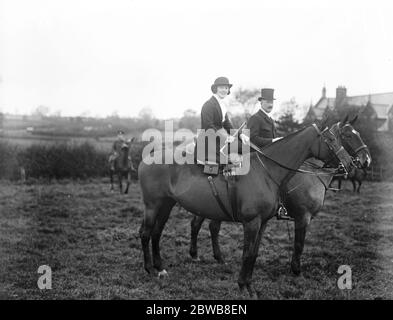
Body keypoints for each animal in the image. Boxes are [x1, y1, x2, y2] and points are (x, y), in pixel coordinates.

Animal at [136, 119, 354, 298]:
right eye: (332, 139)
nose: (351, 163)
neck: (265, 172)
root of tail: (147, 158)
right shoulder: (253, 222)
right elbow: (248, 253)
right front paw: (242, 286)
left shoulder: (263, 223)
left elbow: (254, 254)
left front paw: (249, 285)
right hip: (153, 205)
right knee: (146, 233)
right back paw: (150, 269)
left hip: (167, 204)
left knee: (157, 233)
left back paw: (161, 267)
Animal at [188, 116, 370, 276]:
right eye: (347, 136)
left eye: (358, 134)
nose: (366, 160)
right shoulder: (303, 216)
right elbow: (299, 244)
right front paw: (296, 270)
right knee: (203, 225)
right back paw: (201, 255)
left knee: (206, 225)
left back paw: (207, 255)